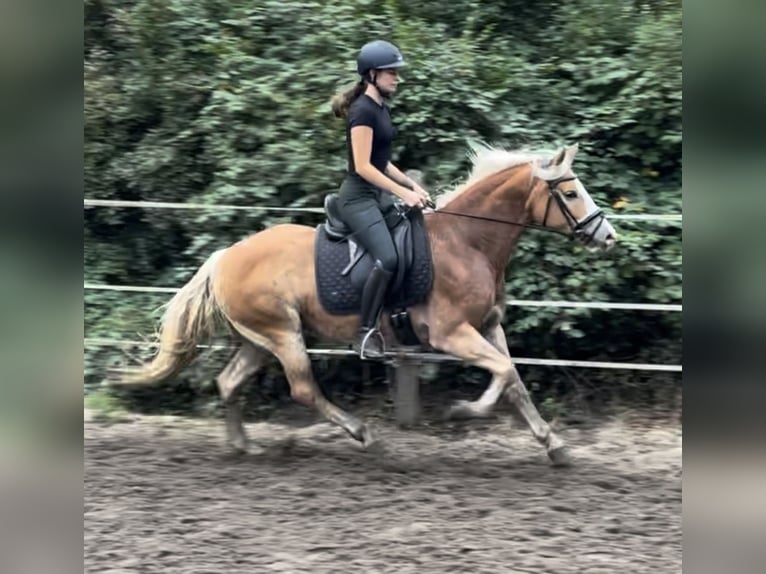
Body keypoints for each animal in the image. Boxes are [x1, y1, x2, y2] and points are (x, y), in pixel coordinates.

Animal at [112, 143, 616, 468]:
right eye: (570, 193)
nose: (607, 236)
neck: (467, 241)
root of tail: (225, 256)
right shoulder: (451, 334)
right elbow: (504, 372)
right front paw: (462, 412)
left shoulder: (489, 326)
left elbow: (514, 381)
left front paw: (554, 446)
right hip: (284, 335)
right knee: (303, 390)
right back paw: (364, 435)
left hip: (260, 339)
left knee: (229, 381)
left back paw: (245, 447)